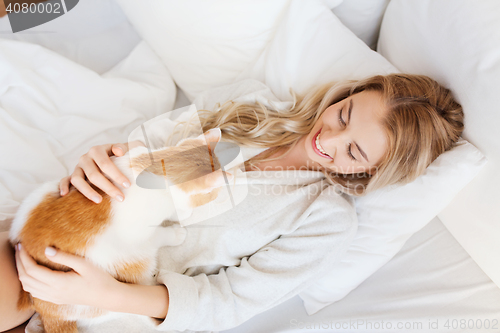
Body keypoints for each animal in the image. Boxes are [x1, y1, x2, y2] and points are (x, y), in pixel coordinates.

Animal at [9, 127, 229, 332]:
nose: (220, 194)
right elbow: (160, 233)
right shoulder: (140, 236)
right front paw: (176, 230)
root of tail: (44, 309)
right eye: (214, 192)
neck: (154, 170)